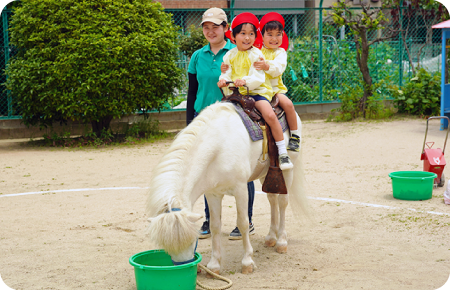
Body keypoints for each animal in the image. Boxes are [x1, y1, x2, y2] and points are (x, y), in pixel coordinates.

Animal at [146, 103, 308, 276]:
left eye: (191, 241)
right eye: (166, 247)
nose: (184, 269)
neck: (219, 147)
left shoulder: (241, 189)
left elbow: (243, 223)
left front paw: (247, 262)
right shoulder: (212, 194)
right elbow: (215, 226)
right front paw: (214, 265)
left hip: (287, 171)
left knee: (283, 202)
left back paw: (281, 242)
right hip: (268, 174)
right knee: (272, 200)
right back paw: (271, 237)